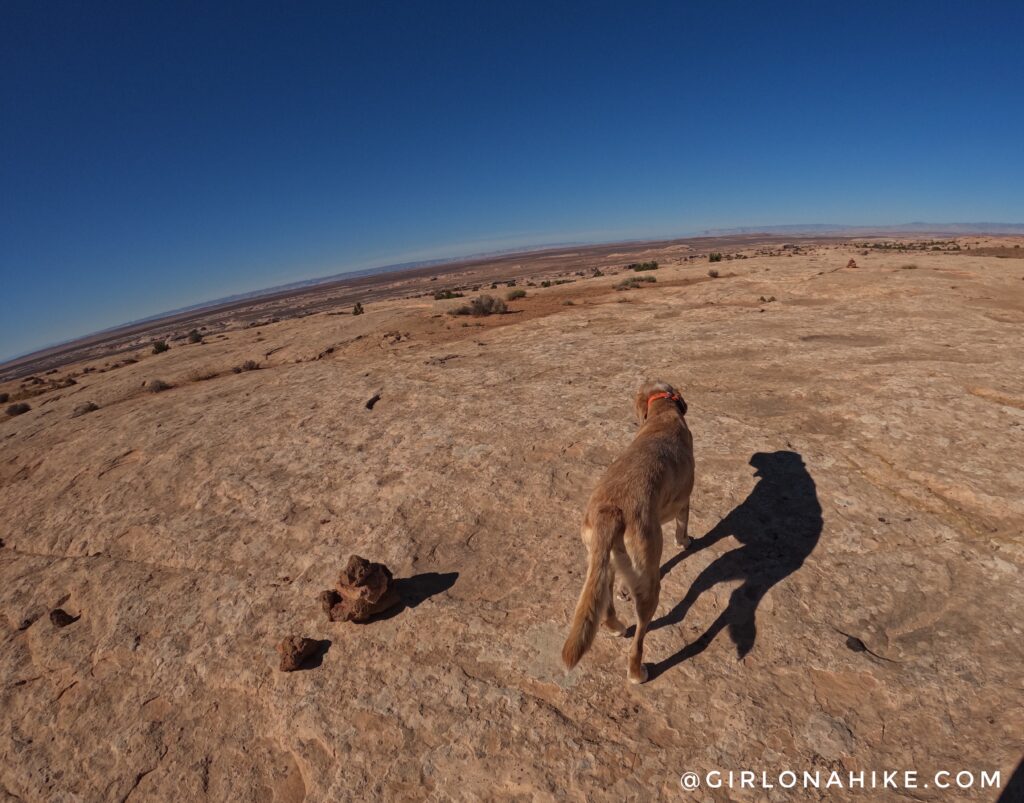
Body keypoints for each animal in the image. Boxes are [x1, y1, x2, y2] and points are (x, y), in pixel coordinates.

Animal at [561, 378, 696, 680]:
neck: (662, 414)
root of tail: (612, 510)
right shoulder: (684, 501)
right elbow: (682, 527)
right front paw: (685, 542)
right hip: (648, 585)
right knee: (638, 640)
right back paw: (637, 672)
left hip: (601, 560)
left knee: (604, 604)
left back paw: (615, 626)